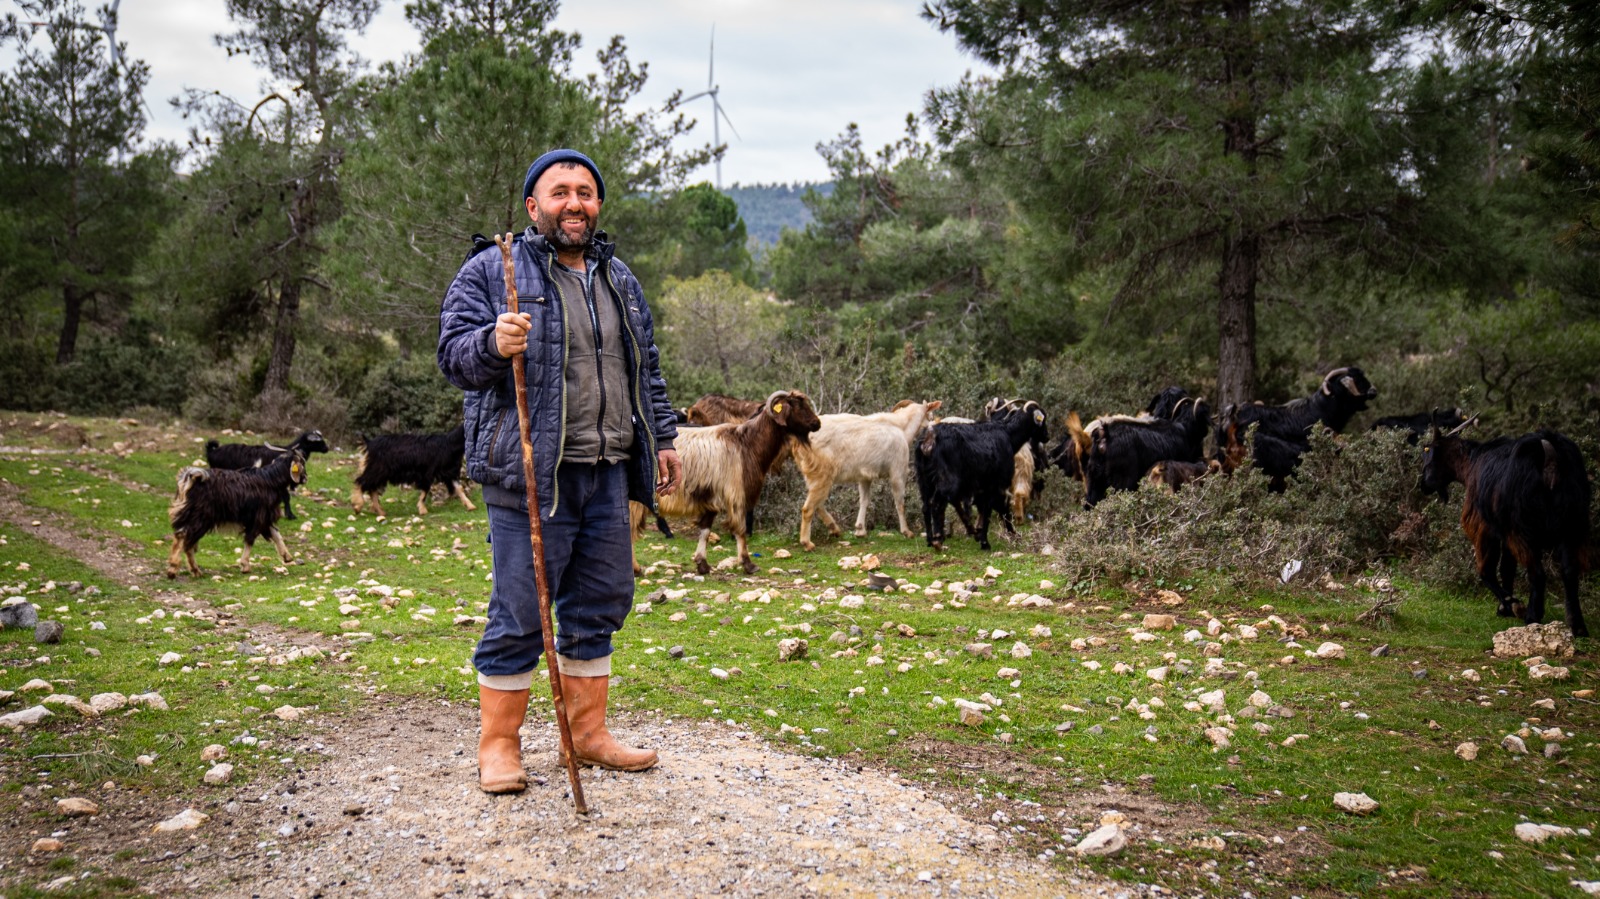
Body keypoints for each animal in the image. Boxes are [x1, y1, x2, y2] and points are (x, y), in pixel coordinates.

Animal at [167, 444, 304, 572]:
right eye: (302, 463)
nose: (305, 478)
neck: (271, 479)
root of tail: (189, 478)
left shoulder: (263, 517)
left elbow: (275, 534)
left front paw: (287, 557)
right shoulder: (259, 516)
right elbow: (250, 539)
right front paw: (245, 565)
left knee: (181, 537)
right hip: (200, 517)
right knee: (185, 539)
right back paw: (186, 569)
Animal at [652, 388, 825, 569]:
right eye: (797, 406)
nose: (817, 423)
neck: (747, 443)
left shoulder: (713, 497)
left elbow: (705, 529)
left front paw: (702, 563)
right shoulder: (735, 493)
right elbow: (739, 527)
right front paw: (747, 563)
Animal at [793, 396, 940, 547]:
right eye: (930, 416)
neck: (901, 428)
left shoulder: (864, 477)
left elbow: (864, 500)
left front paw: (860, 530)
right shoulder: (898, 471)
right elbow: (900, 502)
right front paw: (907, 532)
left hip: (813, 476)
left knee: (818, 504)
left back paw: (834, 529)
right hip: (821, 475)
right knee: (808, 508)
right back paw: (807, 543)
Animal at [915, 403, 1049, 550]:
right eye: (1042, 419)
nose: (1047, 436)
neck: (1008, 434)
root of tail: (929, 439)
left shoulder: (984, 486)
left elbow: (988, 509)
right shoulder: (998, 482)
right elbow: (994, 509)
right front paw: (988, 541)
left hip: (924, 479)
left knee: (926, 506)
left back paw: (930, 540)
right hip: (947, 479)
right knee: (937, 504)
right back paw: (938, 540)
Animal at [1427, 415, 1587, 633]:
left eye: (1429, 455)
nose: (1423, 483)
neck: (1472, 463)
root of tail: (1549, 454)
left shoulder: (1483, 525)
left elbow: (1486, 571)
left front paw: (1512, 604)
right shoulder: (1504, 532)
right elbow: (1507, 567)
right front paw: (1505, 607)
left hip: (1523, 528)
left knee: (1537, 573)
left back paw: (1532, 616)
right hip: (1571, 525)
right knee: (1569, 571)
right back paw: (1577, 626)